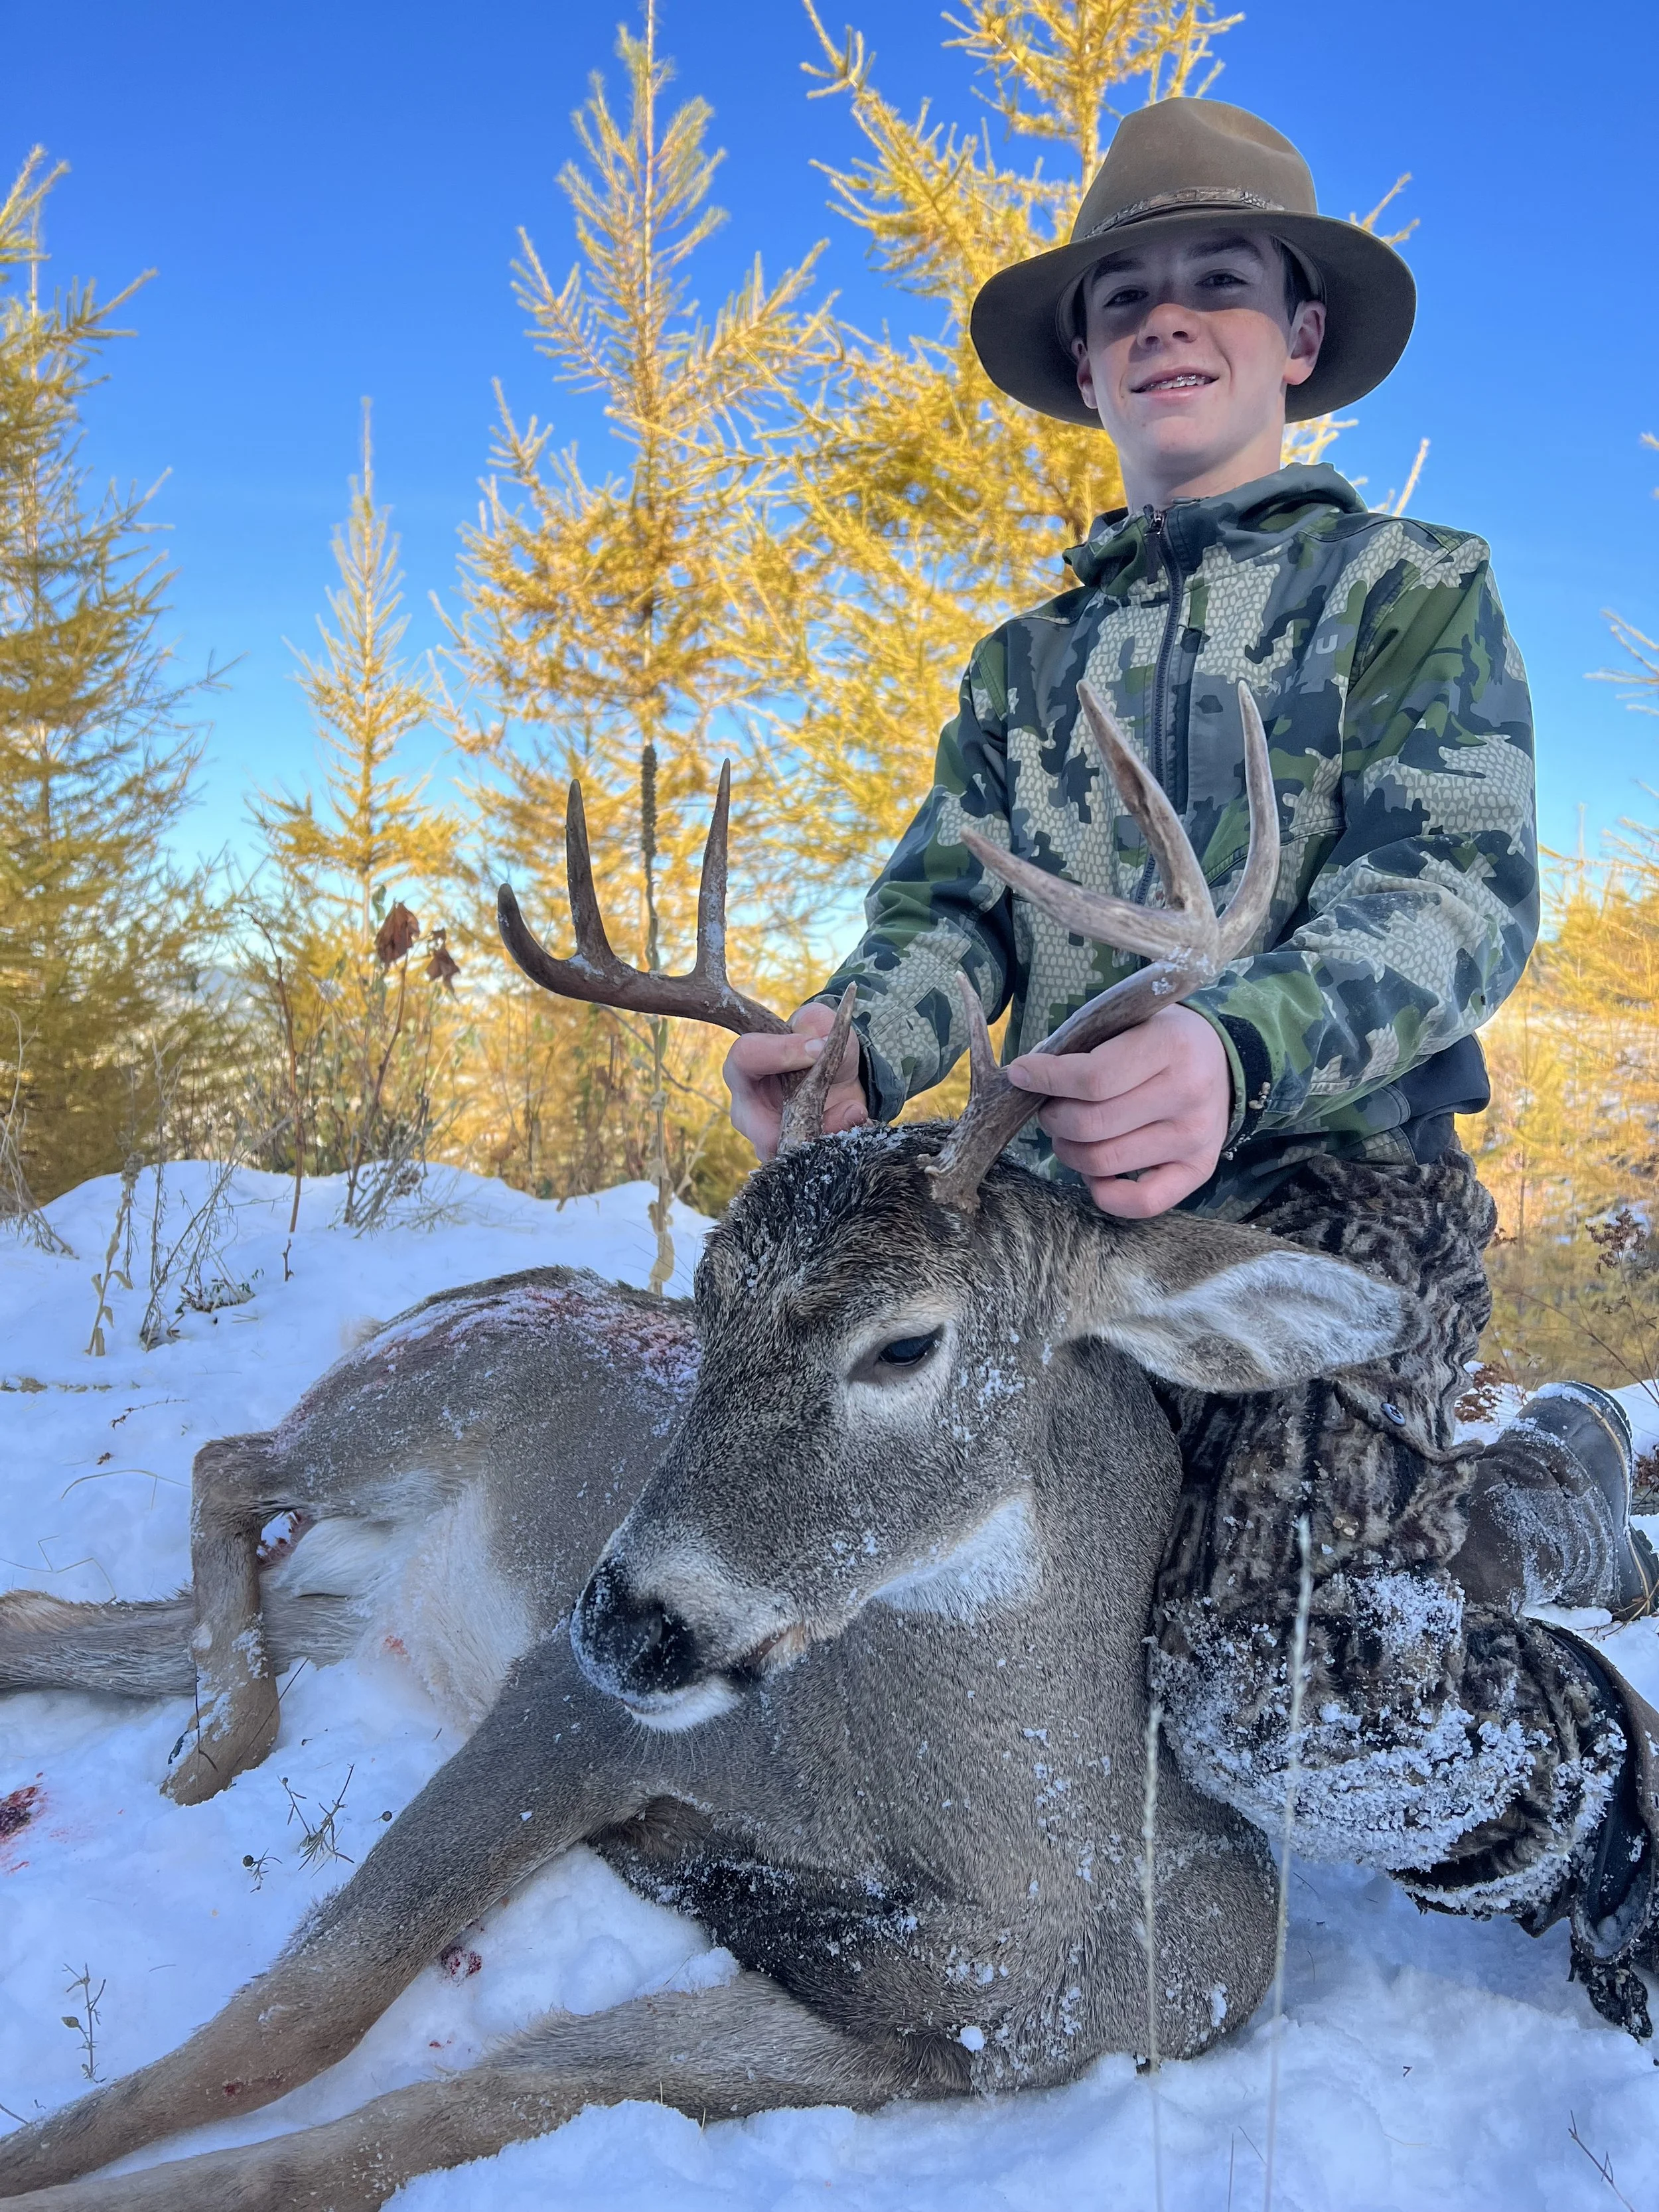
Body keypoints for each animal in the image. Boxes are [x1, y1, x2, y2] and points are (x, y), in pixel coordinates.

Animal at [0, 684, 1419, 2211]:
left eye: (904, 1344)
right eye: (706, 1295)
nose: (623, 1618)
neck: (1040, 1851)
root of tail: (470, 1291)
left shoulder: (944, 2027)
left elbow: (484, 2097)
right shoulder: (566, 1710)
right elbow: (296, 2009)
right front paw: (38, 2160)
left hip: (357, 1598)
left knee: (84, 1610)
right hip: (405, 1406)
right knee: (227, 1461)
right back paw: (217, 1746)